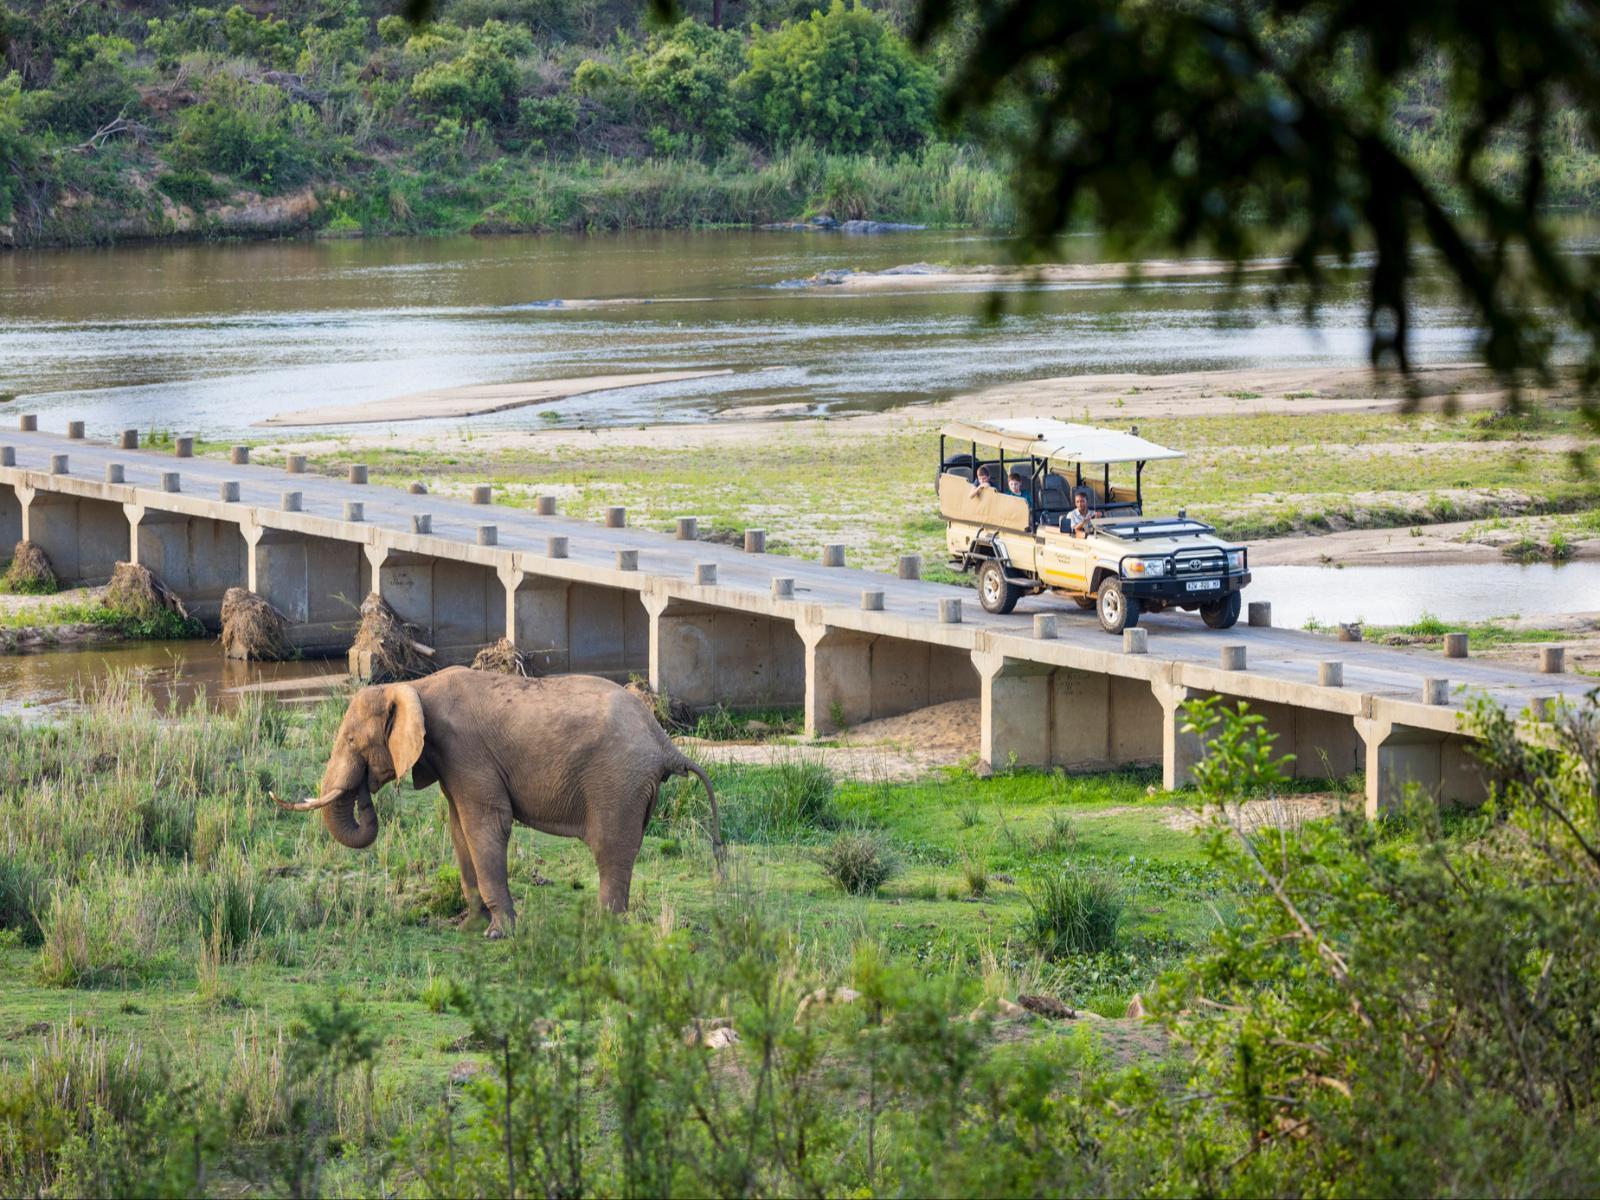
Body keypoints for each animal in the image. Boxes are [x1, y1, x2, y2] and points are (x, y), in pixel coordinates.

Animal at [273, 667, 721, 938]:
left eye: (352, 740)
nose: (364, 788)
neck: (415, 685)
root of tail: (663, 740)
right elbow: (459, 828)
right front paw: (468, 927)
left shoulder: (465, 750)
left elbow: (485, 825)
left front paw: (498, 934)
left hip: (617, 782)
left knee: (610, 850)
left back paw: (602, 928)